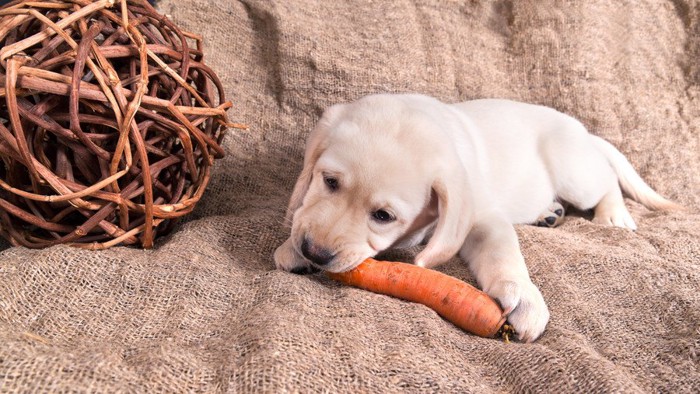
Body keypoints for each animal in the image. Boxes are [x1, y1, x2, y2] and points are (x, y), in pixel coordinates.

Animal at [274, 92, 680, 342]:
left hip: (575, 173)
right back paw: (549, 212)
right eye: (329, 181)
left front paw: (523, 295)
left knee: (607, 180)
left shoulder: (481, 218)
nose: (315, 252)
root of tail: (585, 133)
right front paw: (291, 247)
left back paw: (614, 215)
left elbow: (503, 253)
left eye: (383, 215)